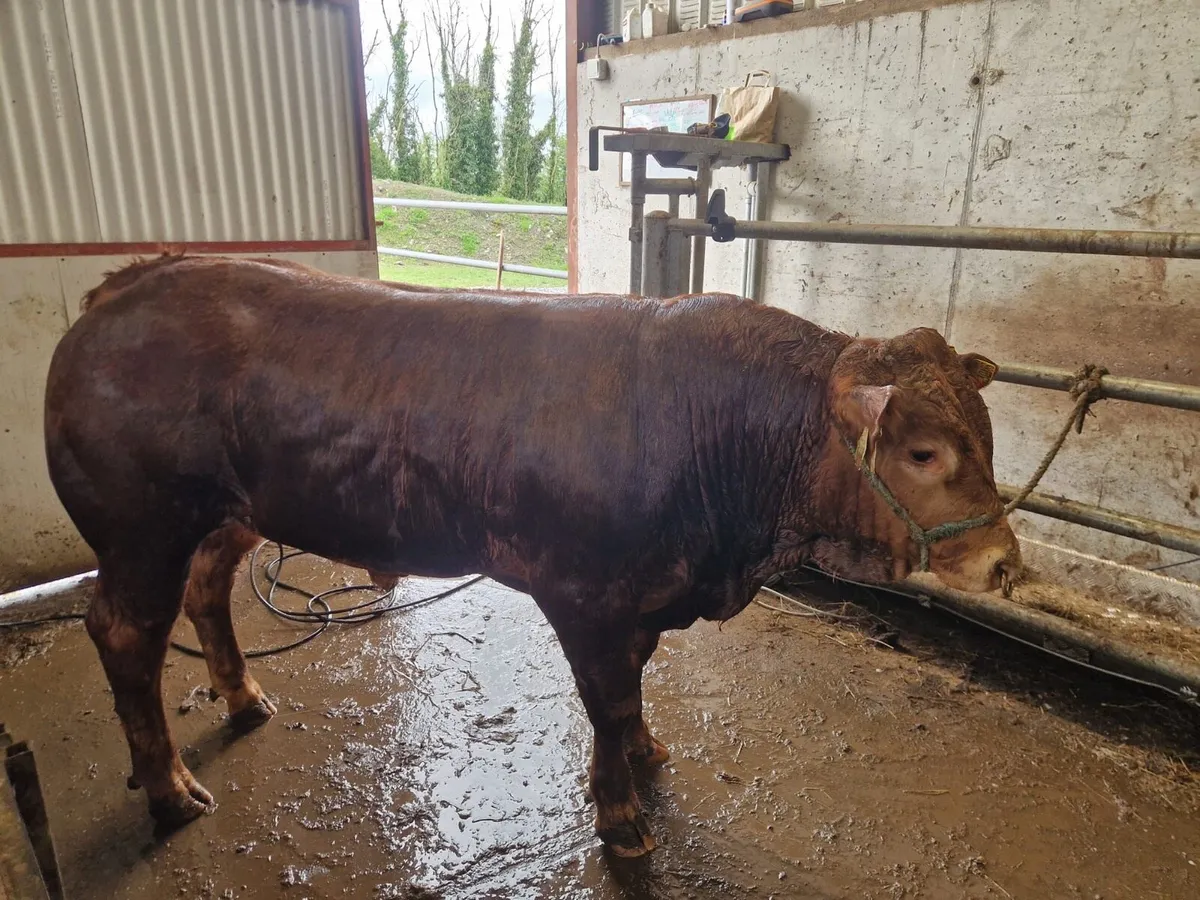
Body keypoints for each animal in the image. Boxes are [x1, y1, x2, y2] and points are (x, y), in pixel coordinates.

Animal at [44, 255, 1020, 857]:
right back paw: (169, 788)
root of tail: (130, 285)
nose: (1004, 563)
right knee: (125, 636)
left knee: (209, 589)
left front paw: (645, 754)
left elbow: (632, 693)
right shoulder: (583, 592)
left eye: (988, 432)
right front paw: (621, 815)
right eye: (923, 451)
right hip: (142, 530)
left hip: (227, 515)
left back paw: (245, 699)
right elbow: (606, 699)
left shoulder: (639, 595)